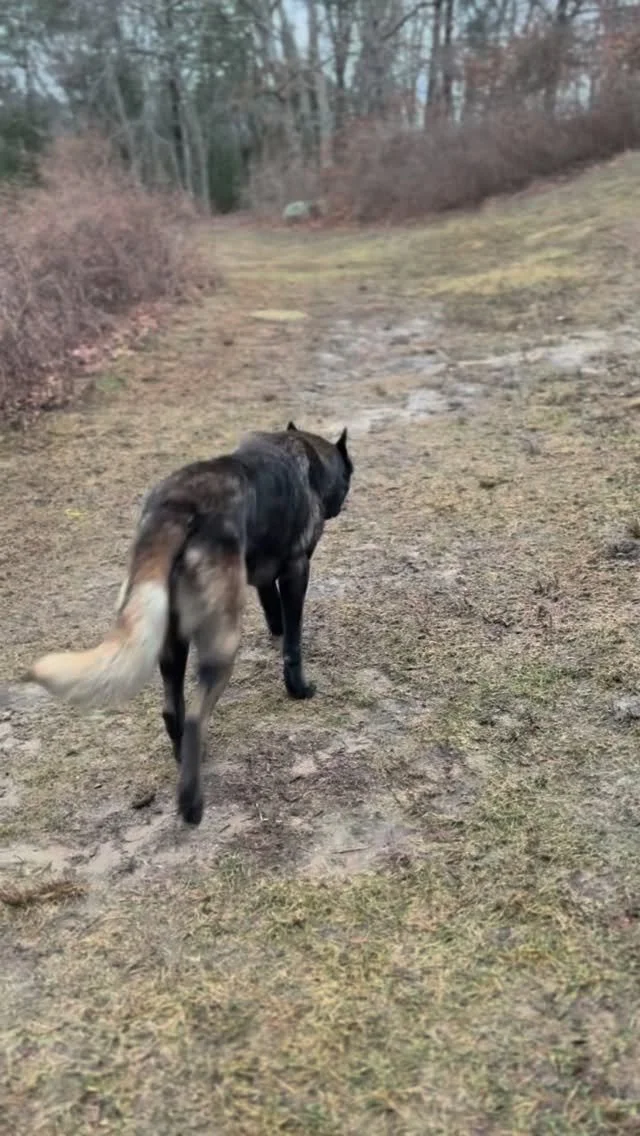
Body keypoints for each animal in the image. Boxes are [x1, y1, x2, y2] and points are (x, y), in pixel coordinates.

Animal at [26, 423, 353, 826]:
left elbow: (273, 612)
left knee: (172, 709)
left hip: (170, 639)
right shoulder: (296, 569)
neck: (304, 453)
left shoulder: (262, 576)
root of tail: (175, 509)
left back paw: (183, 758)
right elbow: (293, 641)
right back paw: (191, 803)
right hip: (222, 641)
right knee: (197, 716)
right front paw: (299, 687)